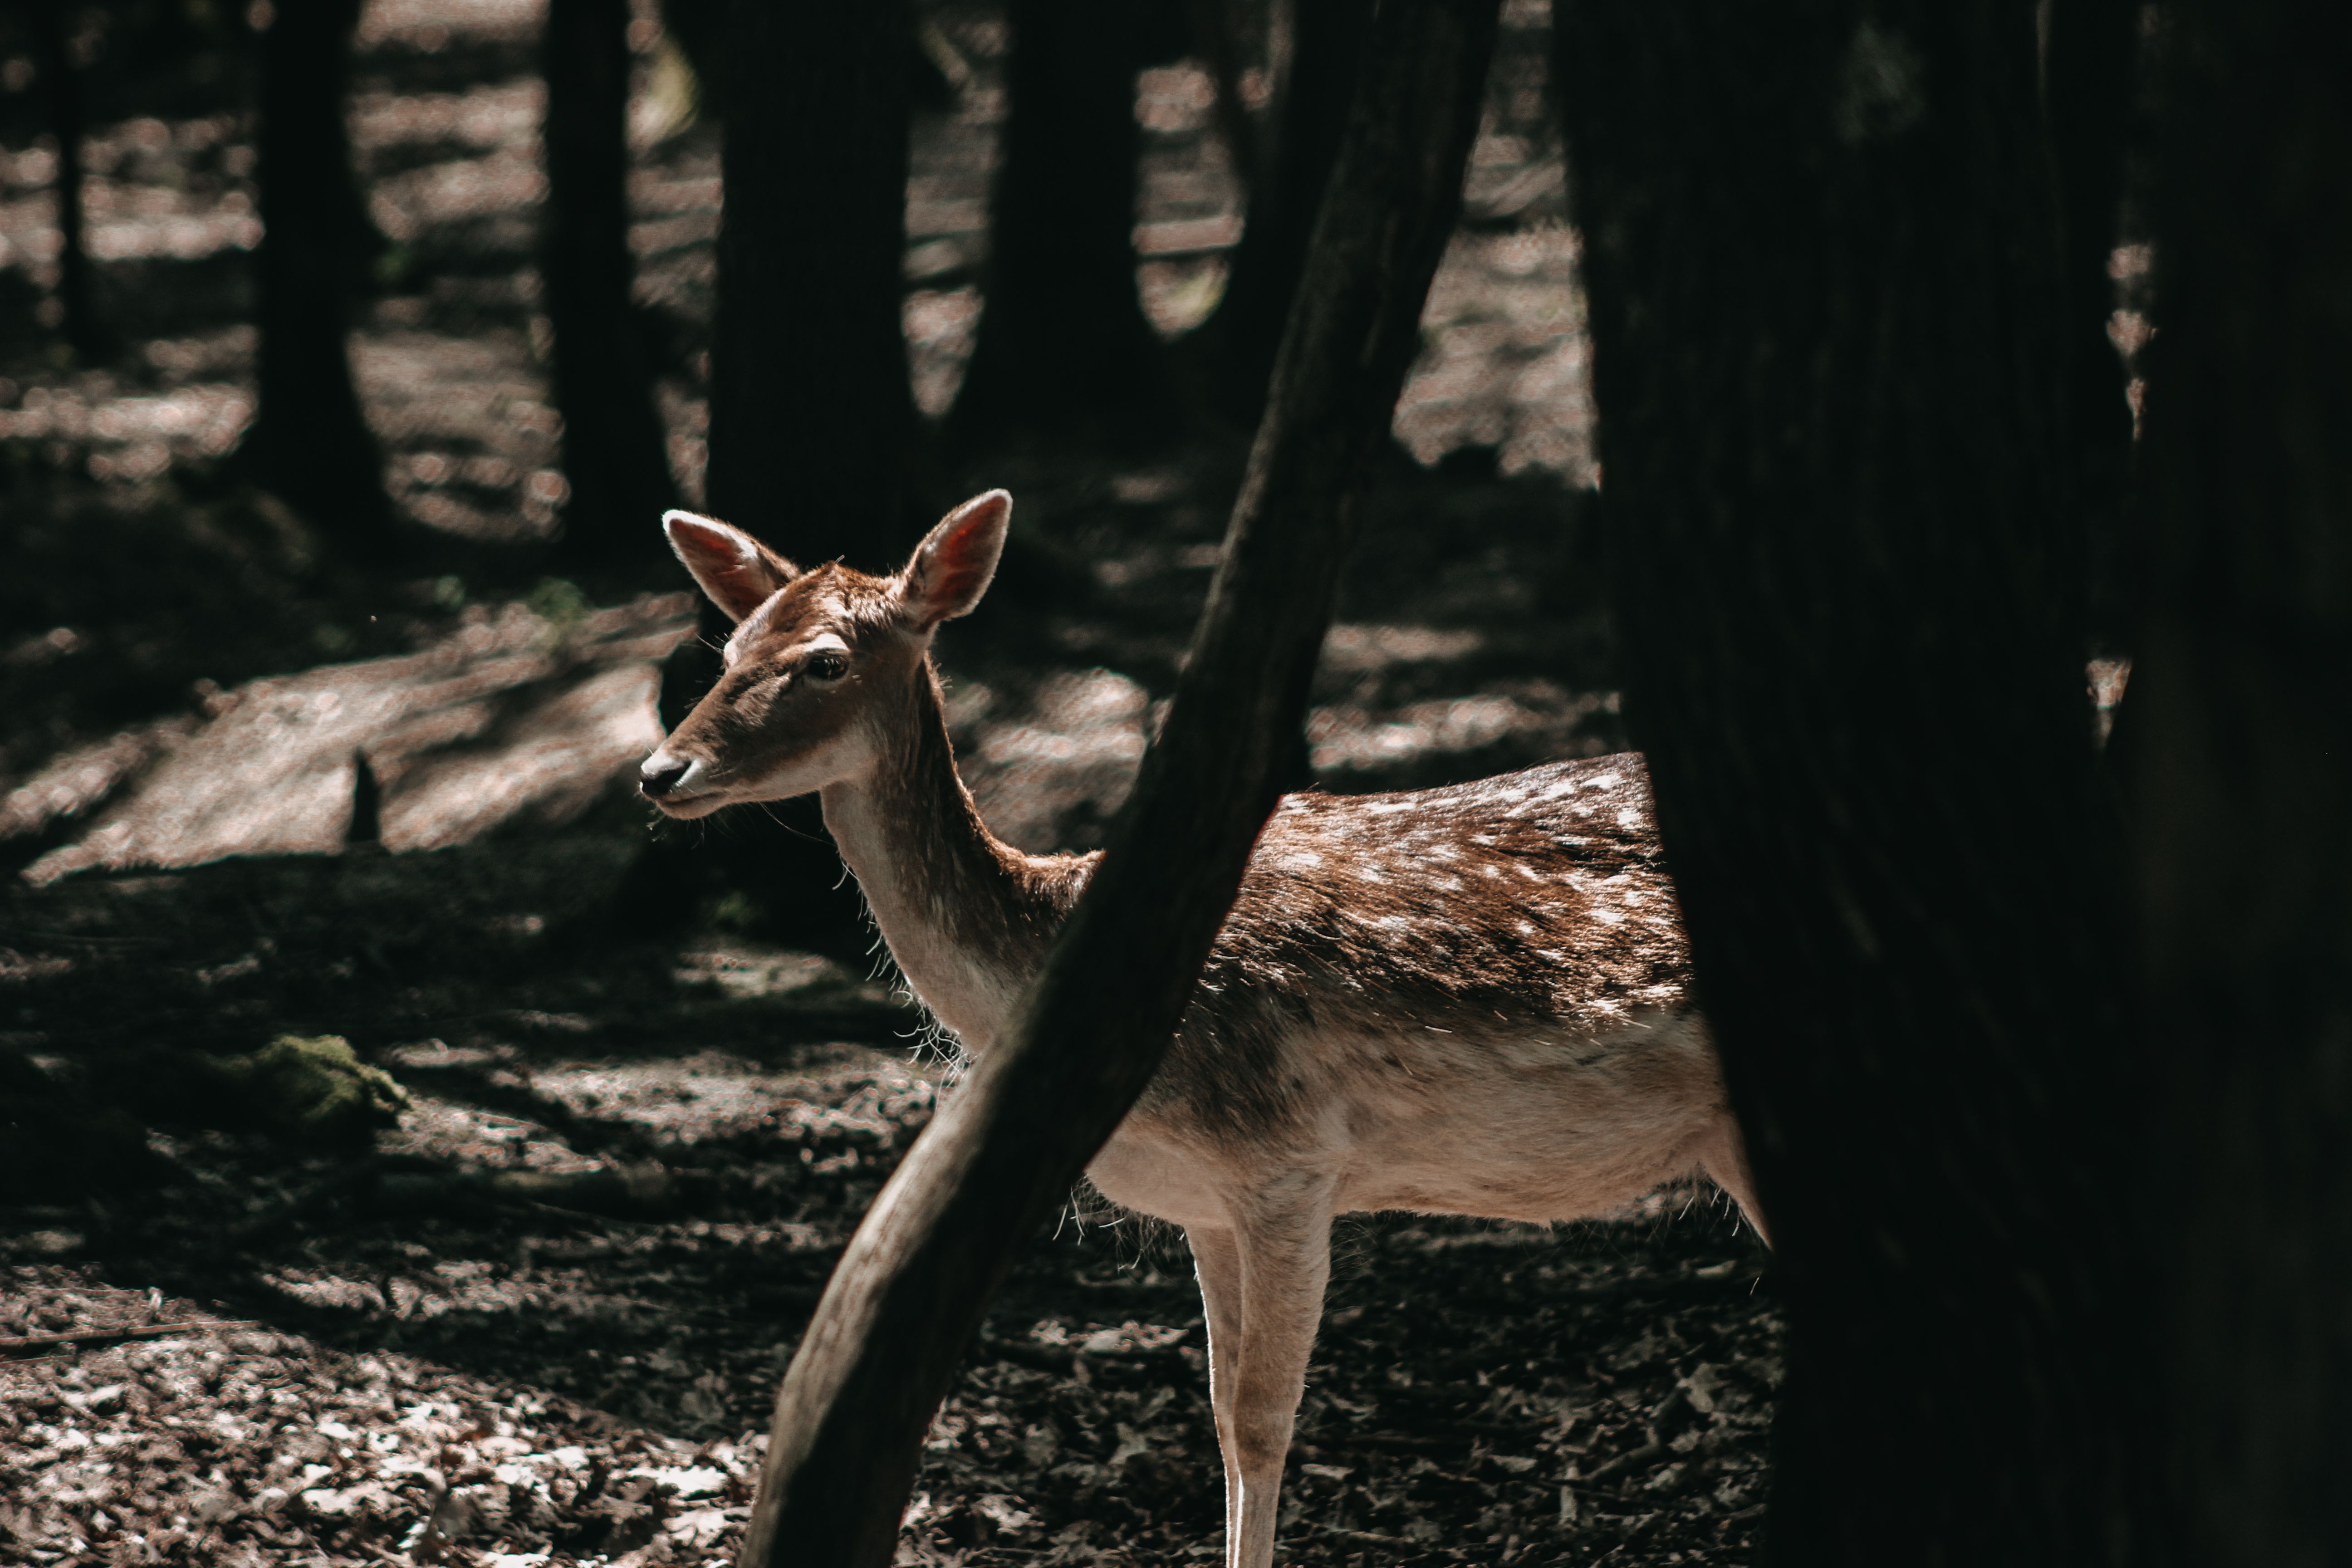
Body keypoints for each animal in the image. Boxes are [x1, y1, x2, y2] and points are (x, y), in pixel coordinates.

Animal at [638, 490, 1767, 1568]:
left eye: (826, 660)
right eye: (726, 653)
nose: (659, 772)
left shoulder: (1287, 1162)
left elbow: (1266, 1422)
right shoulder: (1205, 1204)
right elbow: (1221, 1419)